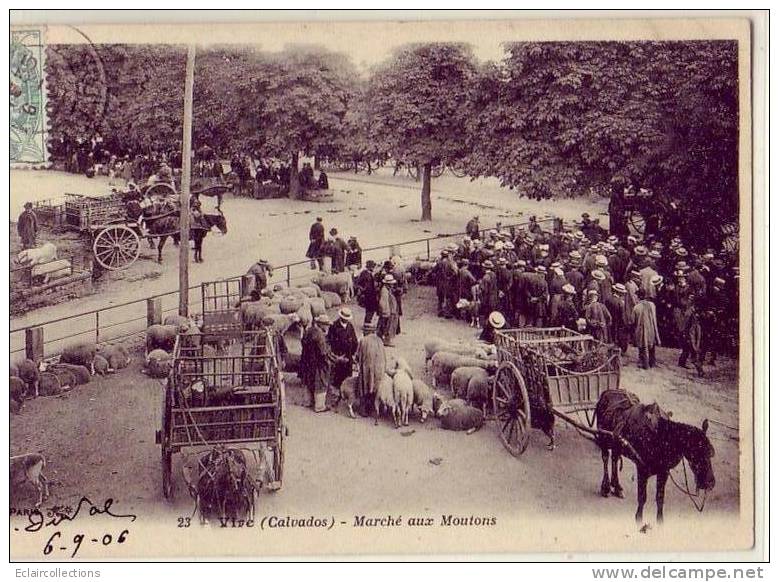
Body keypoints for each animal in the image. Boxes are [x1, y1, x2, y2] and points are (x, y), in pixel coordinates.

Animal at [596, 390, 716, 528]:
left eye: (710, 453)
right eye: (697, 452)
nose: (710, 483)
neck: (662, 439)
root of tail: (606, 392)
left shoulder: (664, 472)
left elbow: (660, 499)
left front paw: (660, 523)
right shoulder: (642, 469)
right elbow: (642, 498)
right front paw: (638, 520)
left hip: (617, 443)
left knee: (615, 458)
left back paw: (617, 488)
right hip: (603, 438)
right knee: (605, 457)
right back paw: (605, 487)